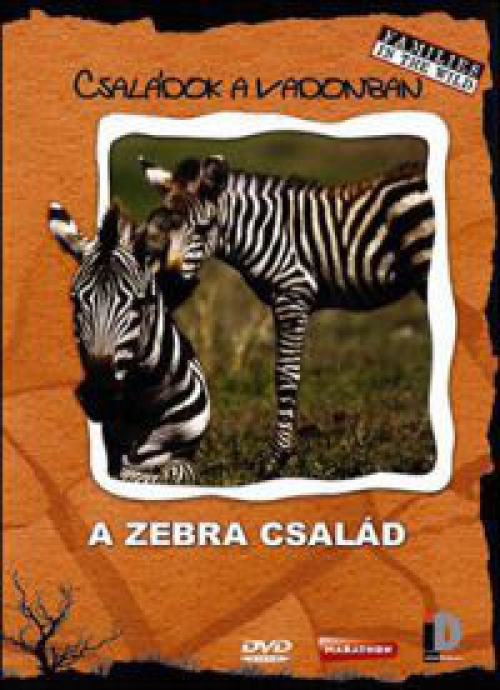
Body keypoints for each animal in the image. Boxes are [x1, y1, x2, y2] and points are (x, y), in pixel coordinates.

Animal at [48, 201, 210, 484]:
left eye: (138, 302)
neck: (143, 399)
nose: (99, 393)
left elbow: (167, 473)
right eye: (74, 301)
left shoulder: (182, 454)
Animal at [139, 154, 435, 478]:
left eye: (204, 229)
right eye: (163, 229)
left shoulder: (292, 295)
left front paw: (276, 459)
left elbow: (285, 375)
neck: (266, 233)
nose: (170, 287)